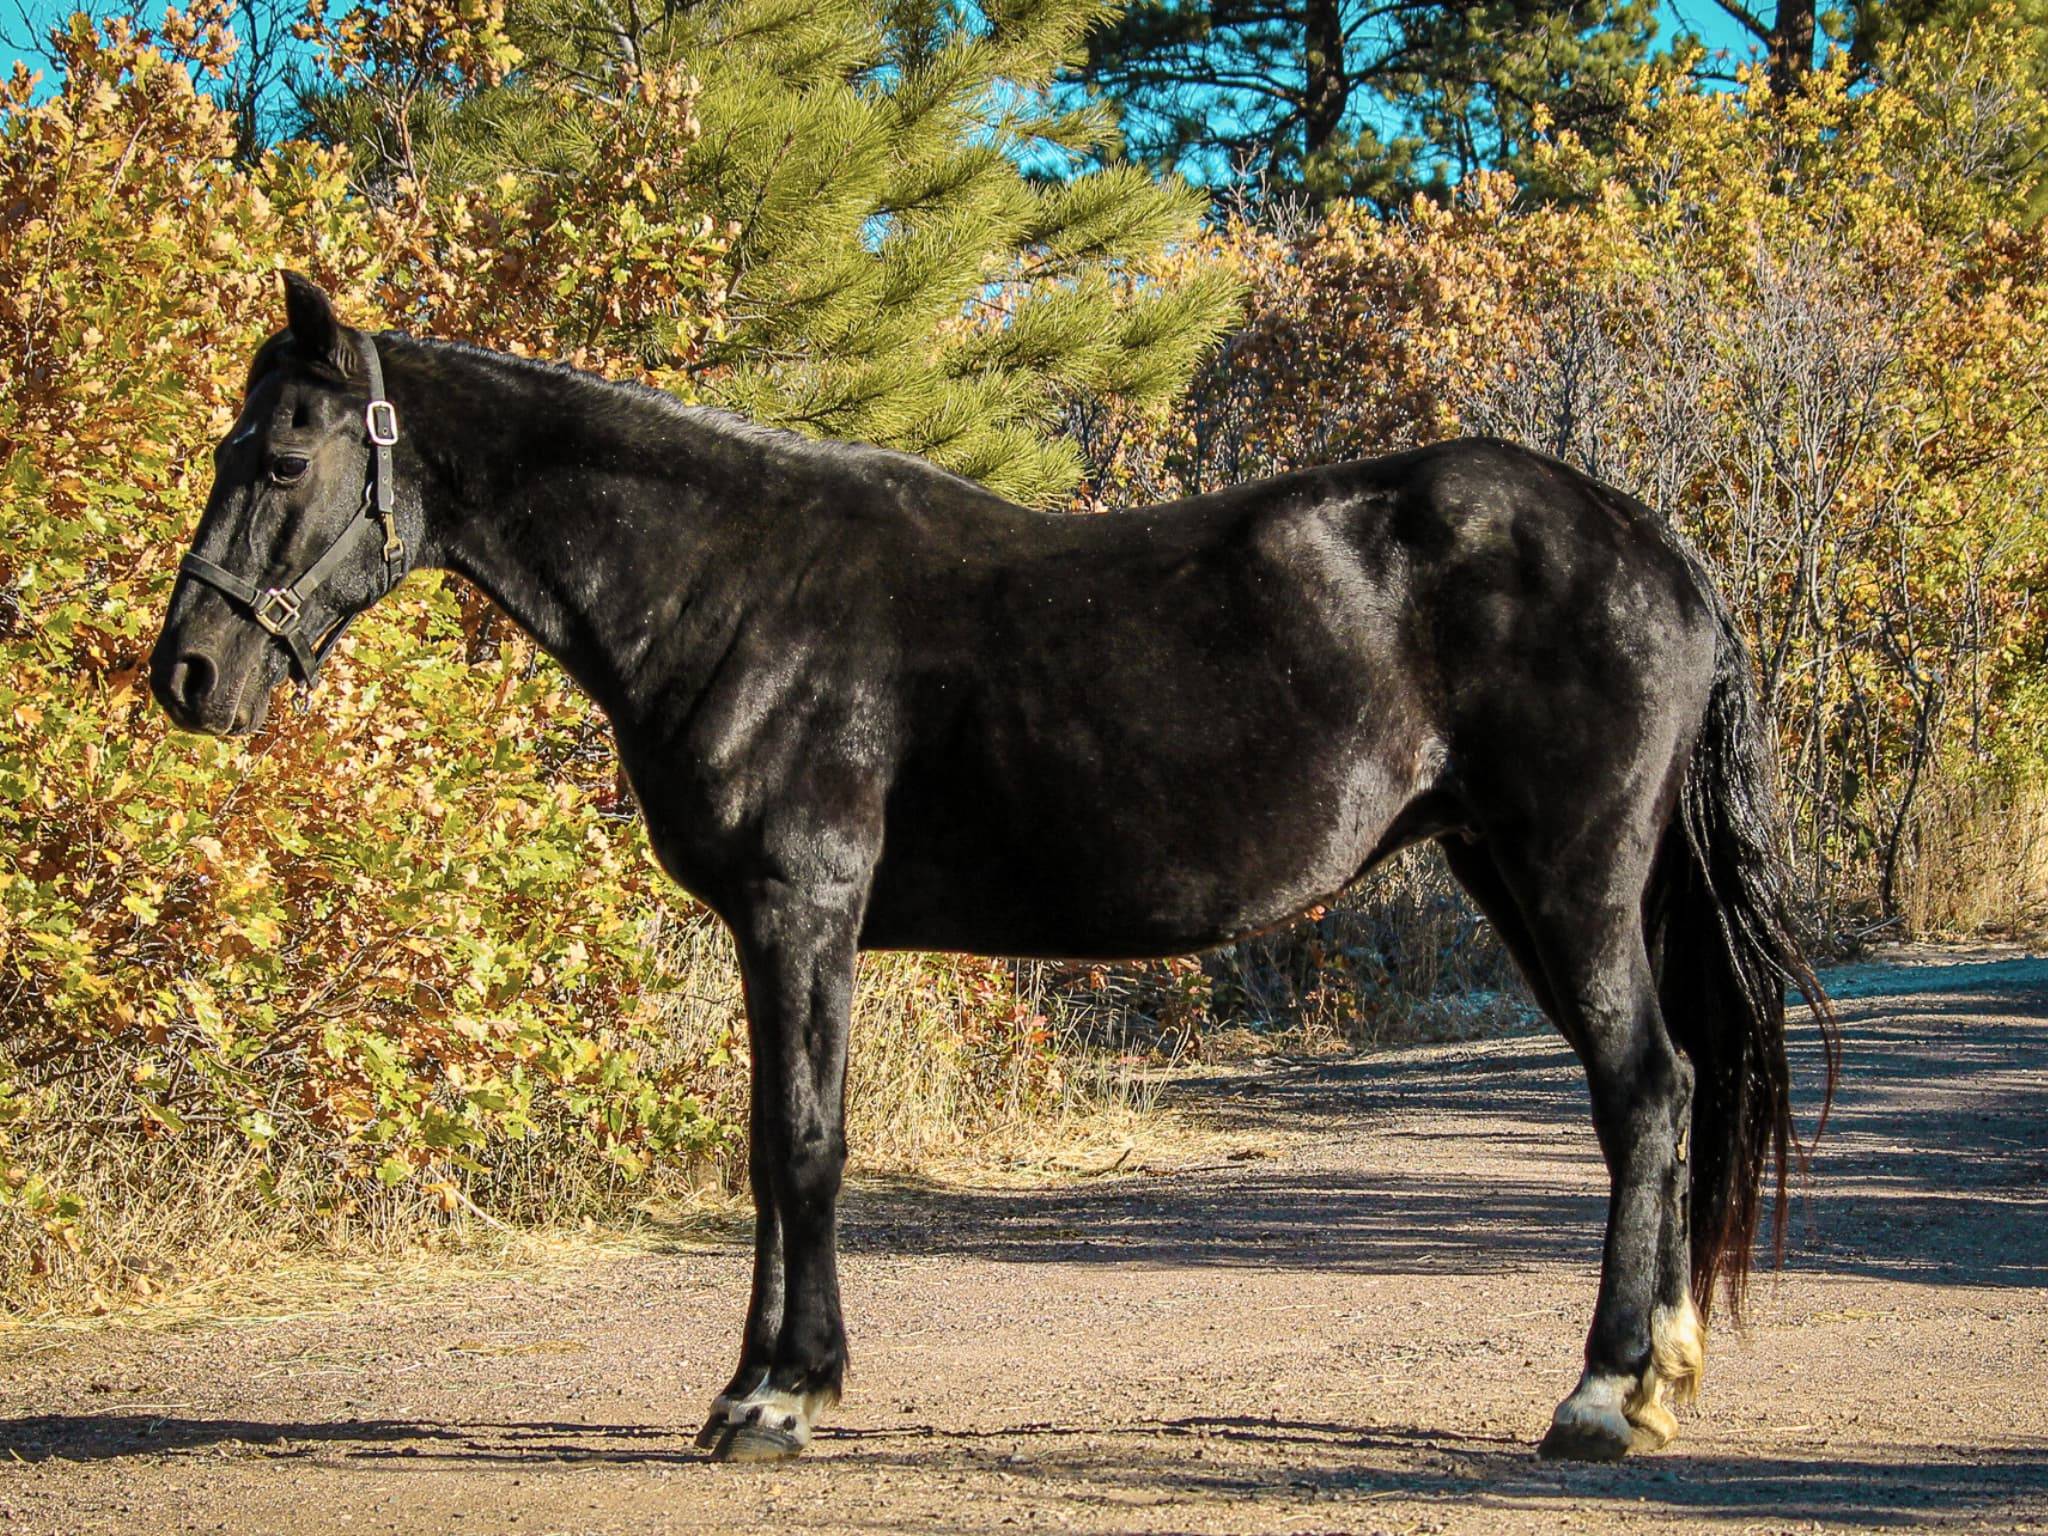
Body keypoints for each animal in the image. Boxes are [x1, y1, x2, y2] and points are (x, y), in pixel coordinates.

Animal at [151, 274, 1835, 1466]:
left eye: (283, 451)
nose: (187, 675)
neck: (730, 584)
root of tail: (1657, 551)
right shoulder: (774, 929)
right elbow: (768, 1149)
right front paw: (753, 1387)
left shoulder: (805, 909)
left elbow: (804, 1148)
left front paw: (780, 1401)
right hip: (1513, 874)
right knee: (1666, 1092)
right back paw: (1660, 1372)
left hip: (1573, 880)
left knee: (1648, 1092)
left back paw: (1604, 1398)